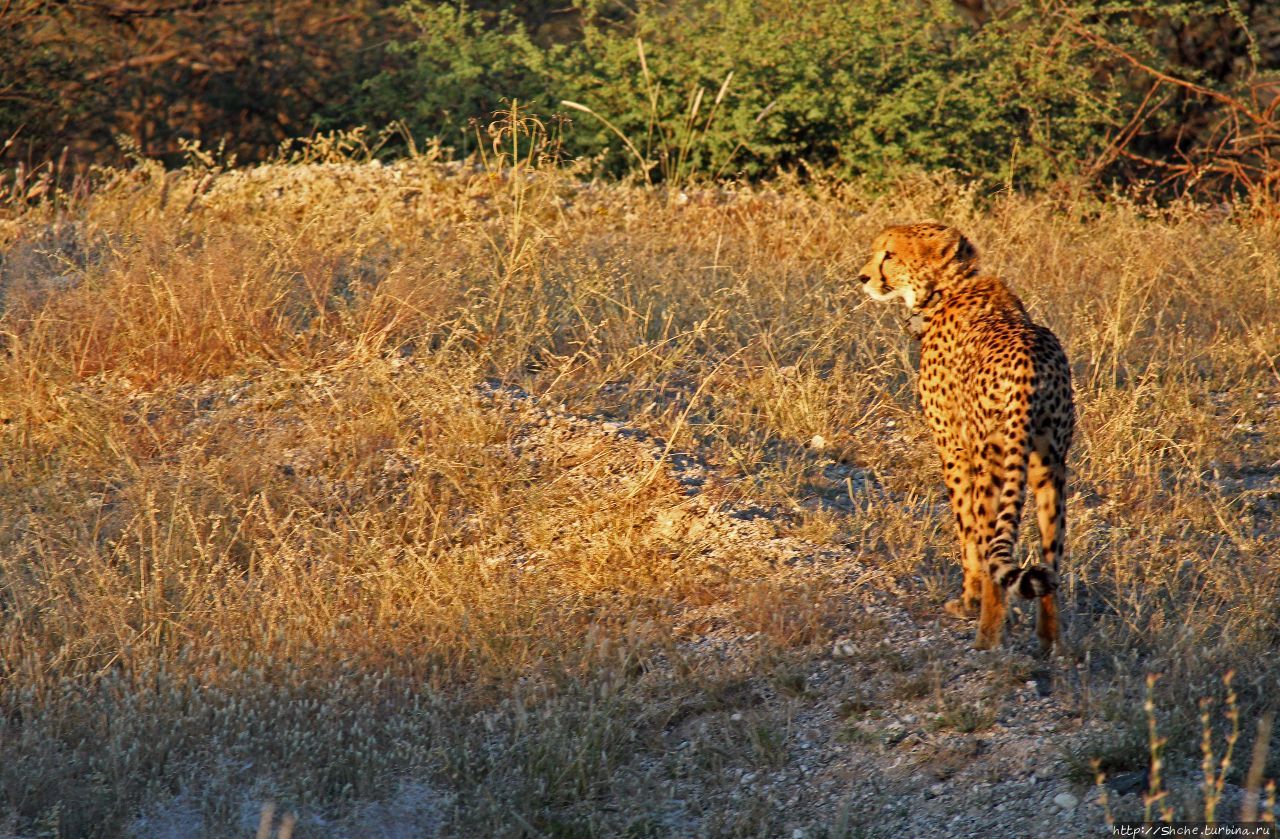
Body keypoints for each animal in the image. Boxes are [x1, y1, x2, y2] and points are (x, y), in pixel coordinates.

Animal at [855, 221, 1075, 650]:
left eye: (889, 254)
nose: (863, 277)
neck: (948, 290)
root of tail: (1030, 367)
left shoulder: (953, 448)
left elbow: (966, 531)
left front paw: (968, 598)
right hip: (1050, 469)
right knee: (1050, 565)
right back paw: (1051, 644)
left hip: (994, 464)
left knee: (992, 548)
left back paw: (986, 636)